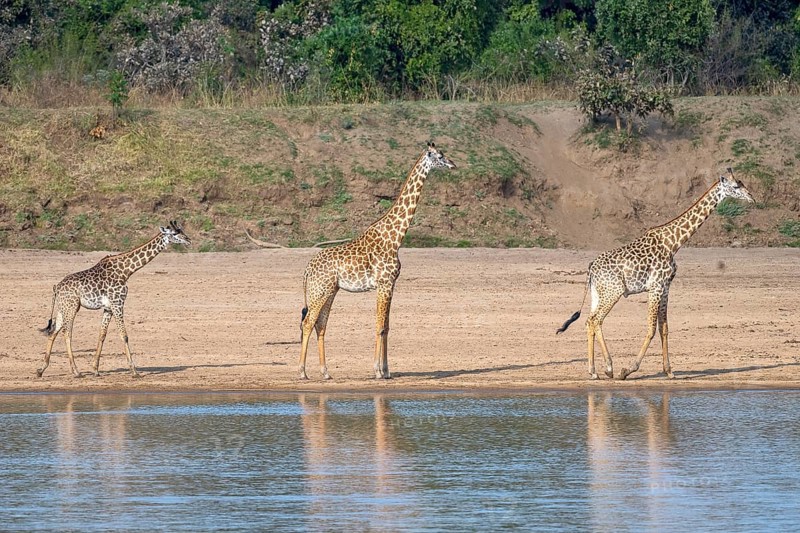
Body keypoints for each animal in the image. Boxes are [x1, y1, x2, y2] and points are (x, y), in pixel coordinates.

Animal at [37, 221, 191, 378]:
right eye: (174, 233)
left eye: (181, 230)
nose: (188, 240)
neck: (126, 271)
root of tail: (57, 287)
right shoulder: (118, 303)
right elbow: (124, 335)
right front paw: (134, 371)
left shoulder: (108, 307)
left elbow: (102, 335)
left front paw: (95, 369)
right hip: (72, 306)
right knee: (67, 333)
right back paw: (76, 371)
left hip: (63, 308)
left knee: (54, 332)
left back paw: (41, 369)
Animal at [299, 142, 456, 380]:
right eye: (439, 156)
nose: (453, 165)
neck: (395, 237)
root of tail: (307, 270)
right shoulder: (384, 283)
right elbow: (380, 327)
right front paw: (378, 371)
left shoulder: (391, 285)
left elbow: (387, 327)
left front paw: (387, 371)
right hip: (319, 290)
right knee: (308, 323)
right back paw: (301, 372)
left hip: (329, 290)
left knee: (321, 325)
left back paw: (325, 372)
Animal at [556, 170, 754, 380]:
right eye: (736, 186)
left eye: (741, 182)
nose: (752, 197)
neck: (674, 242)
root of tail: (591, 268)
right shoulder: (655, 286)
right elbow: (651, 328)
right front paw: (628, 370)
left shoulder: (666, 287)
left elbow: (663, 328)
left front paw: (669, 371)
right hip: (613, 291)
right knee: (596, 320)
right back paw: (608, 368)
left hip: (598, 293)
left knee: (590, 321)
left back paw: (595, 370)